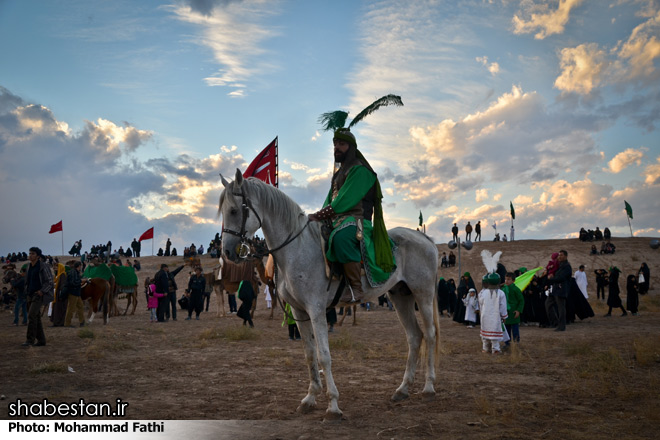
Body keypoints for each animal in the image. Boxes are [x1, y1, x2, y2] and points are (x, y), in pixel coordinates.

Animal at [219, 170, 440, 422]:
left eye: (234, 210)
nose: (227, 252)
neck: (297, 249)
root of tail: (426, 240)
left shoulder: (316, 310)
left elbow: (324, 356)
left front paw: (333, 405)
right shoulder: (300, 311)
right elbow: (309, 354)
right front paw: (310, 398)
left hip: (422, 294)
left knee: (430, 335)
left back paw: (429, 387)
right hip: (401, 296)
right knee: (414, 337)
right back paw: (402, 389)